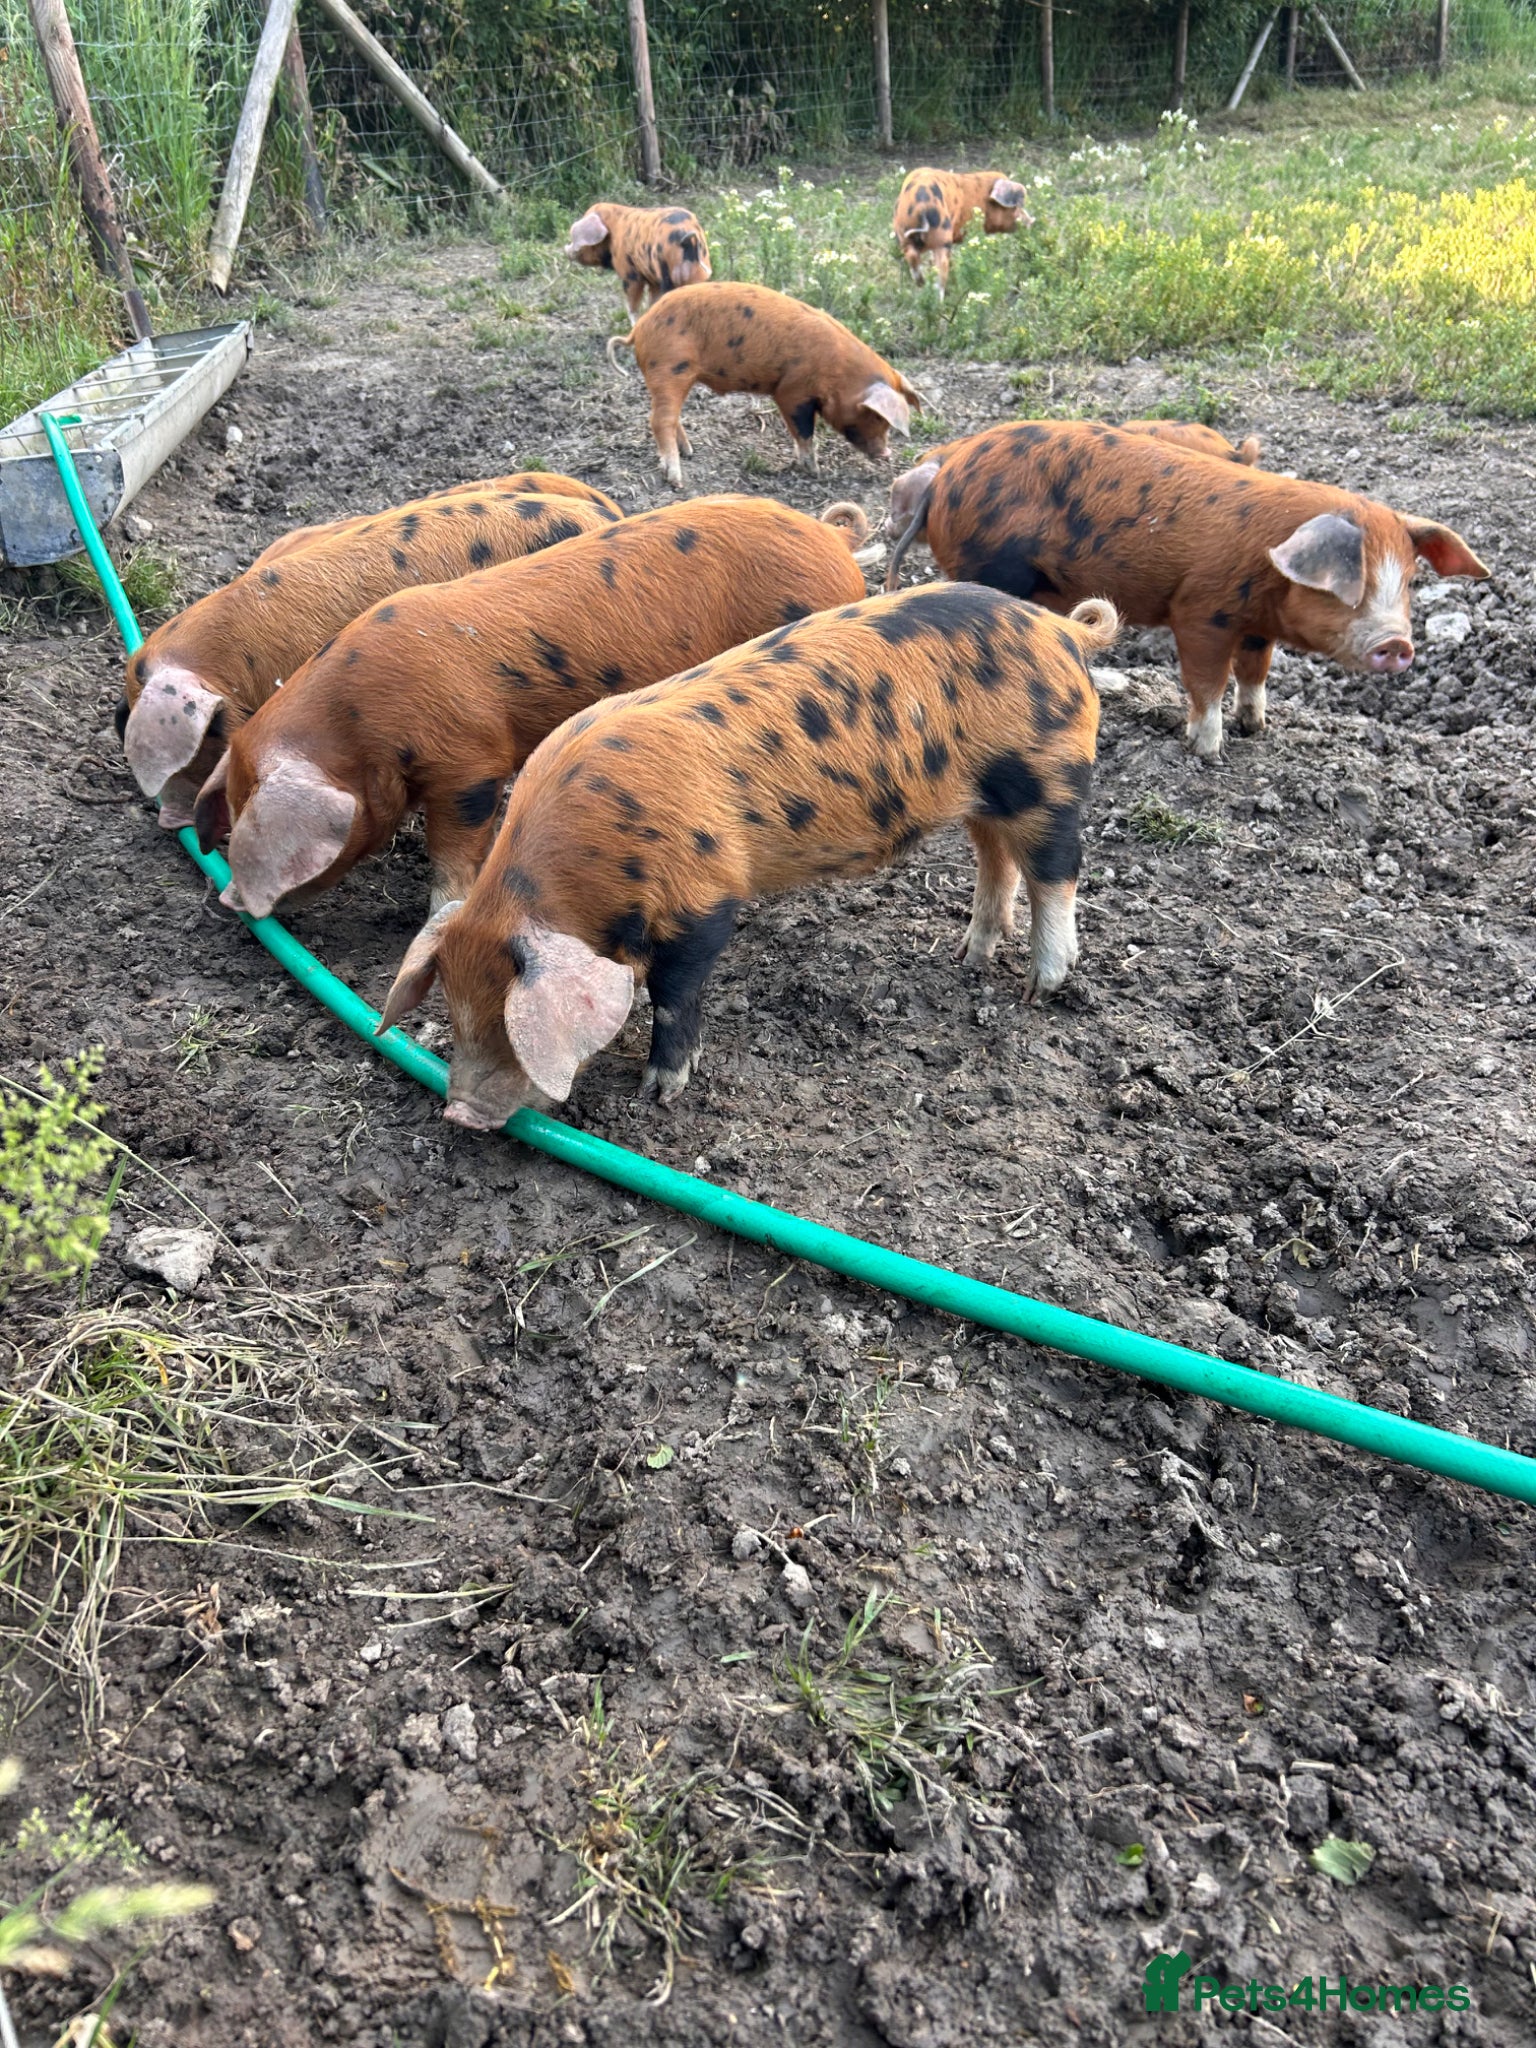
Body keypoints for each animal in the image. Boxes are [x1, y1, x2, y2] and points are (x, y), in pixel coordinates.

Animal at [198, 496, 872, 921]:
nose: (228, 903)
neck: (360, 722)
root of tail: (832, 537)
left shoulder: (470, 761)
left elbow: (454, 852)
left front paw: (438, 912)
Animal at [373, 581, 1117, 1128]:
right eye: (454, 1009)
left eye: (511, 1022)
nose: (461, 1114)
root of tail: (1062, 631)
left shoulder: (705, 898)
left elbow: (674, 994)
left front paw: (658, 1092)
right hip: (985, 796)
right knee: (997, 858)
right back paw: (970, 957)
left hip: (1048, 775)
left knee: (1057, 871)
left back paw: (1041, 985)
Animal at [565, 202, 712, 322]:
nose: (566, 250)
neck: (614, 231)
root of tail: (686, 238)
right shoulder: (653, 279)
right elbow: (652, 299)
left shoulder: (629, 273)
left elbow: (632, 303)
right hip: (700, 275)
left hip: (667, 275)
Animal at [607, 281, 921, 487]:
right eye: (876, 417)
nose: (886, 453)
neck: (839, 372)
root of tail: (638, 329)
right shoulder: (791, 392)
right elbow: (803, 431)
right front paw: (815, 472)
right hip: (669, 367)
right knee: (659, 419)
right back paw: (676, 479)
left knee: (669, 417)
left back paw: (690, 452)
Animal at [892, 168, 1033, 297]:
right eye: (1015, 206)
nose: (1031, 221)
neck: (980, 197)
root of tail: (921, 207)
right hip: (942, 239)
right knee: (939, 278)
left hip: (903, 236)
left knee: (913, 257)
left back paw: (921, 284)